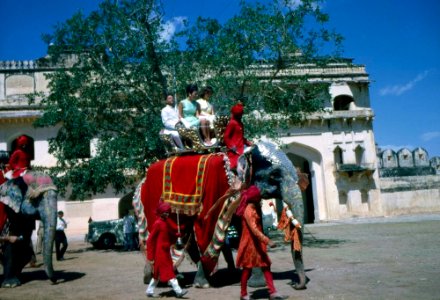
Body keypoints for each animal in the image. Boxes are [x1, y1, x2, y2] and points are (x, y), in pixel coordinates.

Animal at [132, 141, 308, 290]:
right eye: (274, 175)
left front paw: (256, 283)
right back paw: (160, 279)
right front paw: (202, 284)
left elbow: (250, 225)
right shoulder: (216, 189)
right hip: (152, 203)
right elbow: (207, 226)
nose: (294, 284)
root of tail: (141, 183)